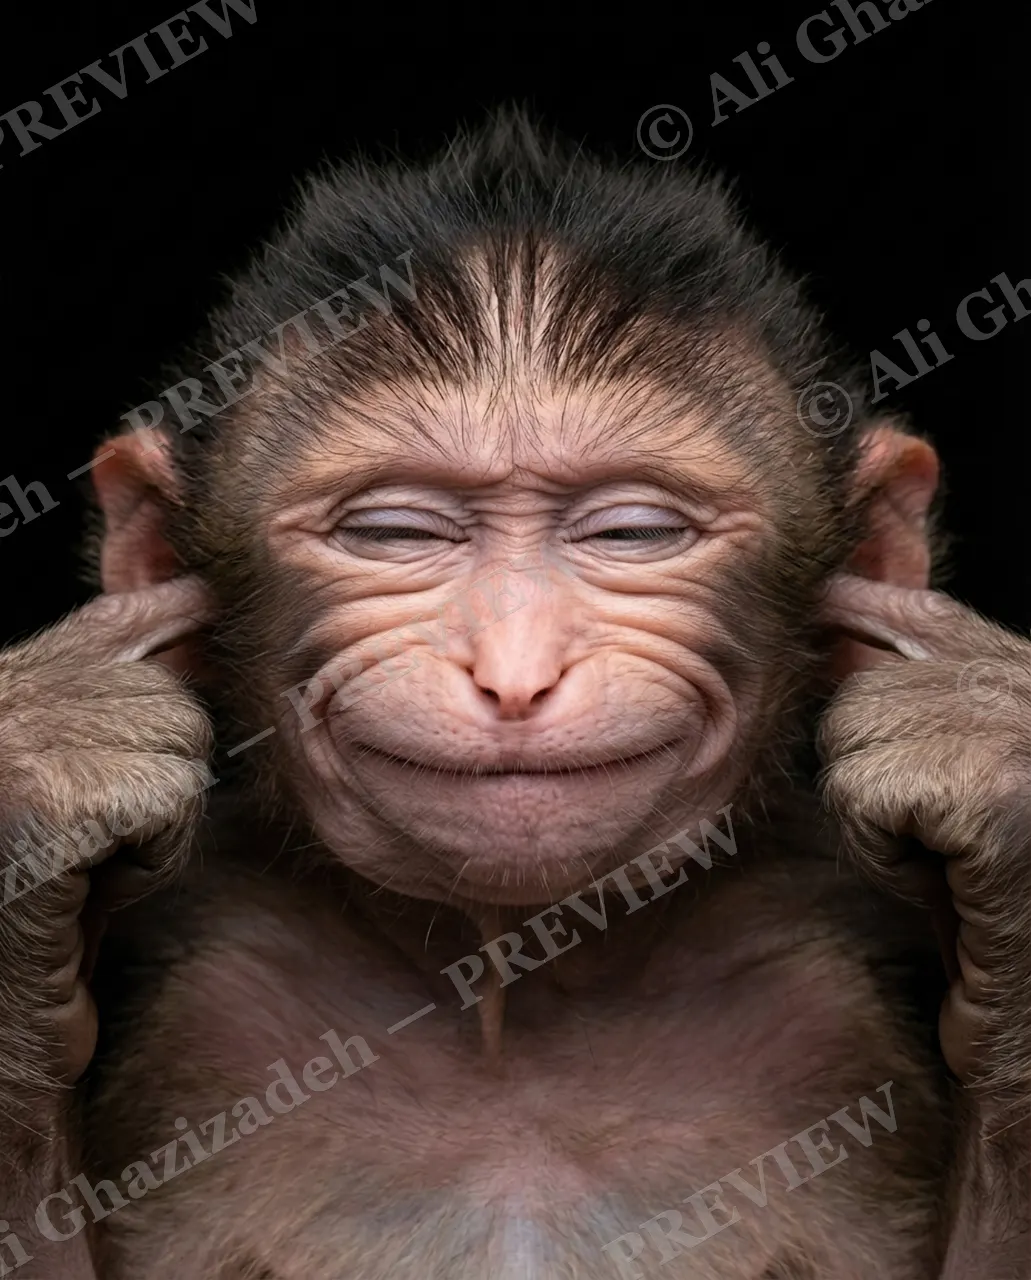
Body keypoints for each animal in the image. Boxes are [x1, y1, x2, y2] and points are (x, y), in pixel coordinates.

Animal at [0, 110, 1027, 1279]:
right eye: (391, 532)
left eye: (633, 532)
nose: (515, 668)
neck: (513, 988)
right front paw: (50, 761)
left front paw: (981, 744)